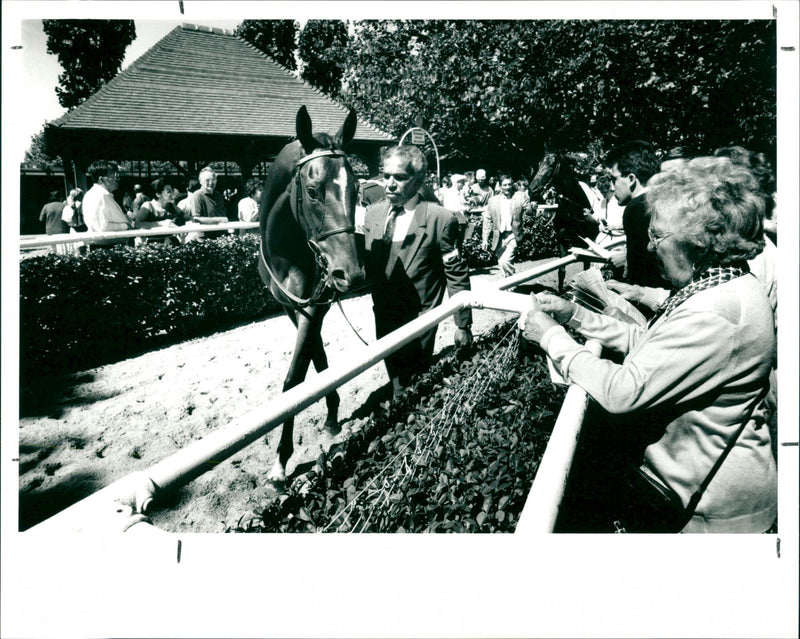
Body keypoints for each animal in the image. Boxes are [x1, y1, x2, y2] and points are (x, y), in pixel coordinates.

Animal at [260, 106, 366, 484]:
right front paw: (331, 415)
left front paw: (280, 460)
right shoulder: (295, 307)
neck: (287, 252)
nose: (350, 273)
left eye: (356, 188)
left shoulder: (316, 307)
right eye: (312, 190)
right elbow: (316, 358)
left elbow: (295, 377)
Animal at [528, 152, 596, 292]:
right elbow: (561, 270)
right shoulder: (562, 240)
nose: (532, 190)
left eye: (552, 164)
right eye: (539, 164)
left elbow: (586, 268)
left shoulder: (587, 244)